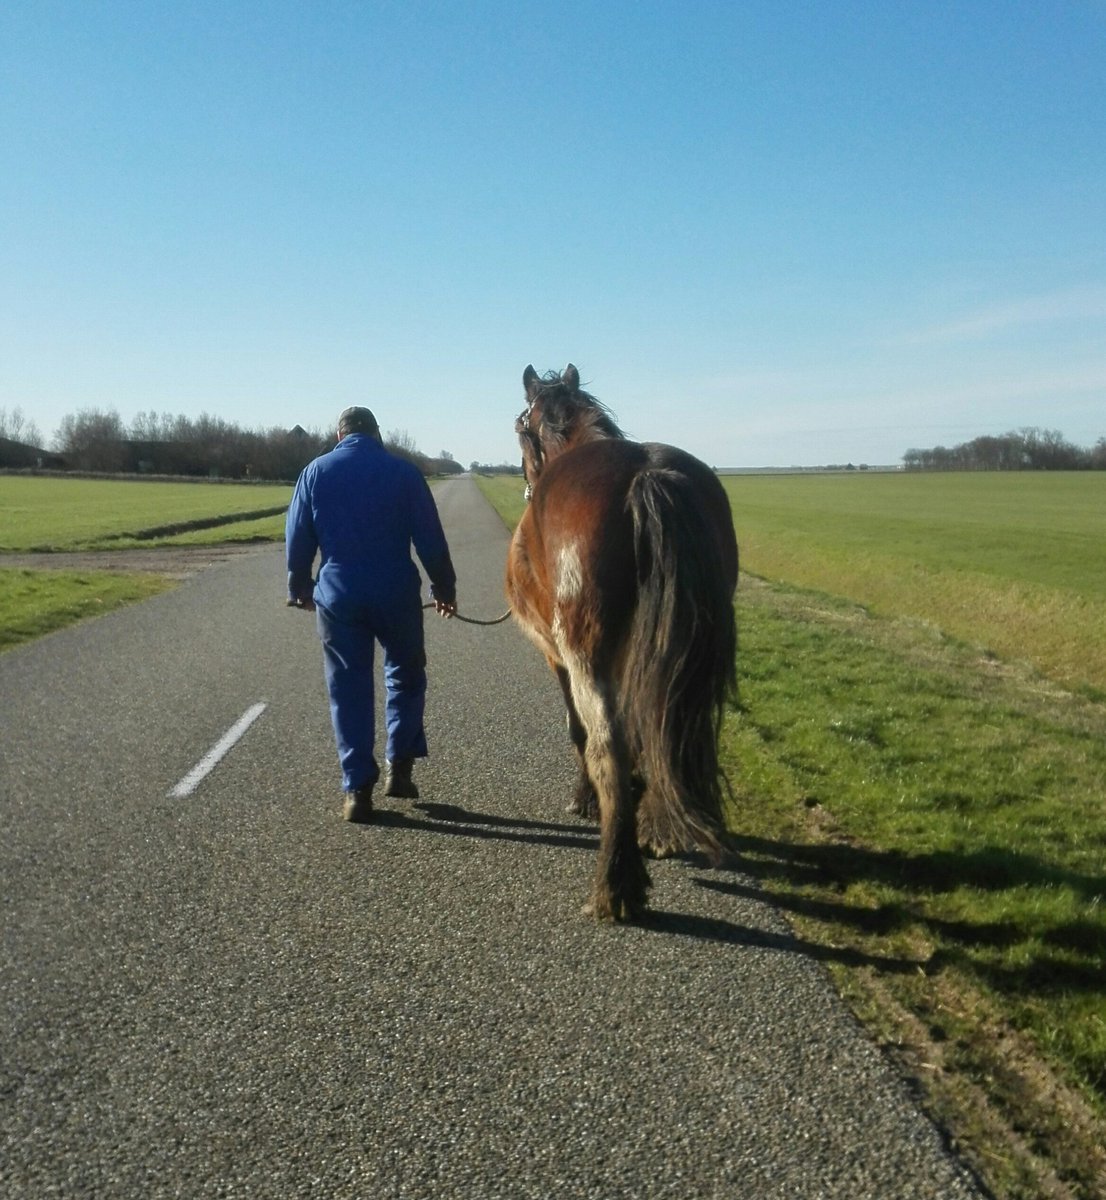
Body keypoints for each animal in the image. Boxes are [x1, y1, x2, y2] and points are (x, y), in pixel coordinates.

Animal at [506, 364, 739, 920]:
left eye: (521, 427)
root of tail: (646, 475)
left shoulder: (558, 656)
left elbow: (579, 731)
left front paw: (587, 799)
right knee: (669, 720)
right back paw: (658, 828)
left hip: (585, 651)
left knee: (606, 742)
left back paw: (616, 882)